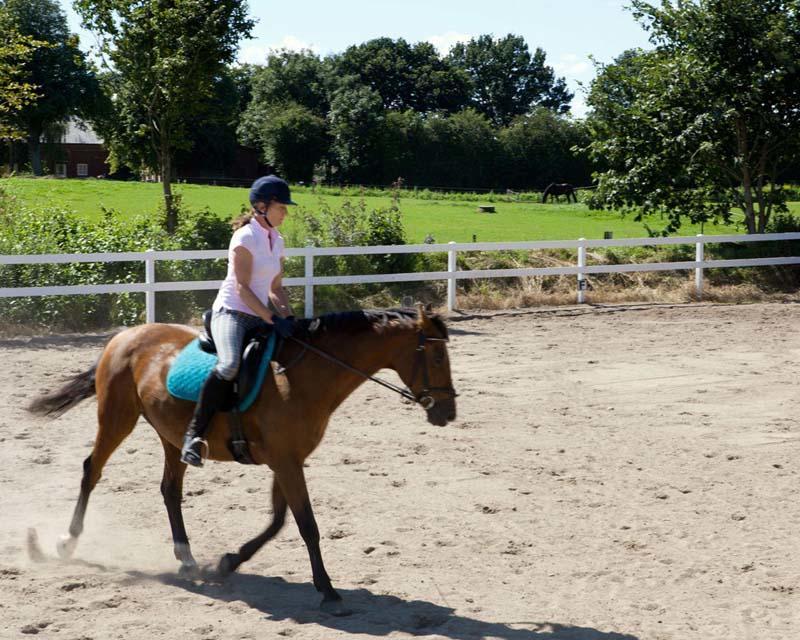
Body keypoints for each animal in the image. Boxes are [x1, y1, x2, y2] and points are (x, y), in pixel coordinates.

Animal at [28, 308, 456, 616]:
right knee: (92, 471)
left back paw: (187, 560)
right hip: (118, 418)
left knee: (170, 490)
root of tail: (123, 336)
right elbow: (307, 525)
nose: (448, 413)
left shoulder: (287, 460)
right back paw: (66, 542)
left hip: (171, 434)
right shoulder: (286, 461)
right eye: (436, 356)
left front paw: (229, 561)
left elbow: (279, 520)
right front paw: (328, 591)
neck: (302, 377)